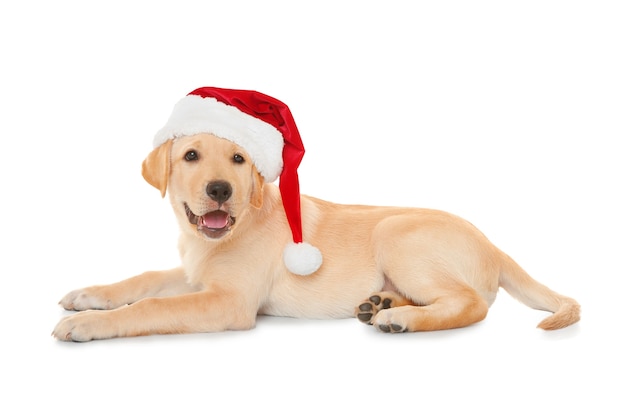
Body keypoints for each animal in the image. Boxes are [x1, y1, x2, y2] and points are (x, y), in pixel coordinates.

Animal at [54, 131, 580, 342]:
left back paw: (400, 318)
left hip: (396, 233)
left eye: (239, 159)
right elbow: (143, 280)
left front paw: (89, 324)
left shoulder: (229, 301)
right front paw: (88, 295)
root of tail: (495, 245)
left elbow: (149, 307)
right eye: (190, 157)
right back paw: (382, 303)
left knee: (472, 304)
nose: (220, 190)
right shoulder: (196, 275)